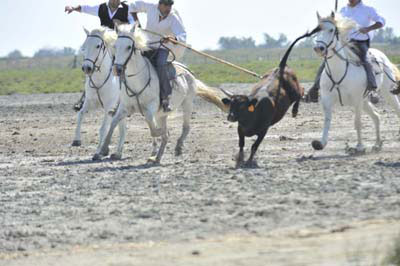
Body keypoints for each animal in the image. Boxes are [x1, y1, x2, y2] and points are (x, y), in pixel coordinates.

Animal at [72, 28, 126, 158]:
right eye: (84, 47)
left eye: (97, 46)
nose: (86, 68)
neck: (100, 80)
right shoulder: (89, 103)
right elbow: (80, 114)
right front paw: (76, 140)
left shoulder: (109, 107)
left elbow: (103, 128)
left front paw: (98, 152)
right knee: (123, 128)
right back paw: (118, 153)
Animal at [94, 23, 223, 164]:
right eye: (115, 46)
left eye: (129, 47)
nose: (117, 69)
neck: (138, 80)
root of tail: (187, 71)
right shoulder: (125, 108)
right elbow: (113, 123)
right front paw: (103, 150)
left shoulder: (150, 108)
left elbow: (153, 128)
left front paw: (161, 133)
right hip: (162, 114)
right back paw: (157, 157)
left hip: (187, 104)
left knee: (186, 127)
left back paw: (177, 147)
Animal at [312, 13, 400, 154]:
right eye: (316, 30)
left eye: (331, 30)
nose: (318, 48)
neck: (339, 71)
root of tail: (383, 57)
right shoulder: (326, 100)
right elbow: (327, 121)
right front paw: (320, 143)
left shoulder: (356, 100)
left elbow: (357, 122)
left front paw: (359, 146)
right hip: (365, 101)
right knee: (376, 117)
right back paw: (377, 144)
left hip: (388, 93)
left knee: (397, 110)